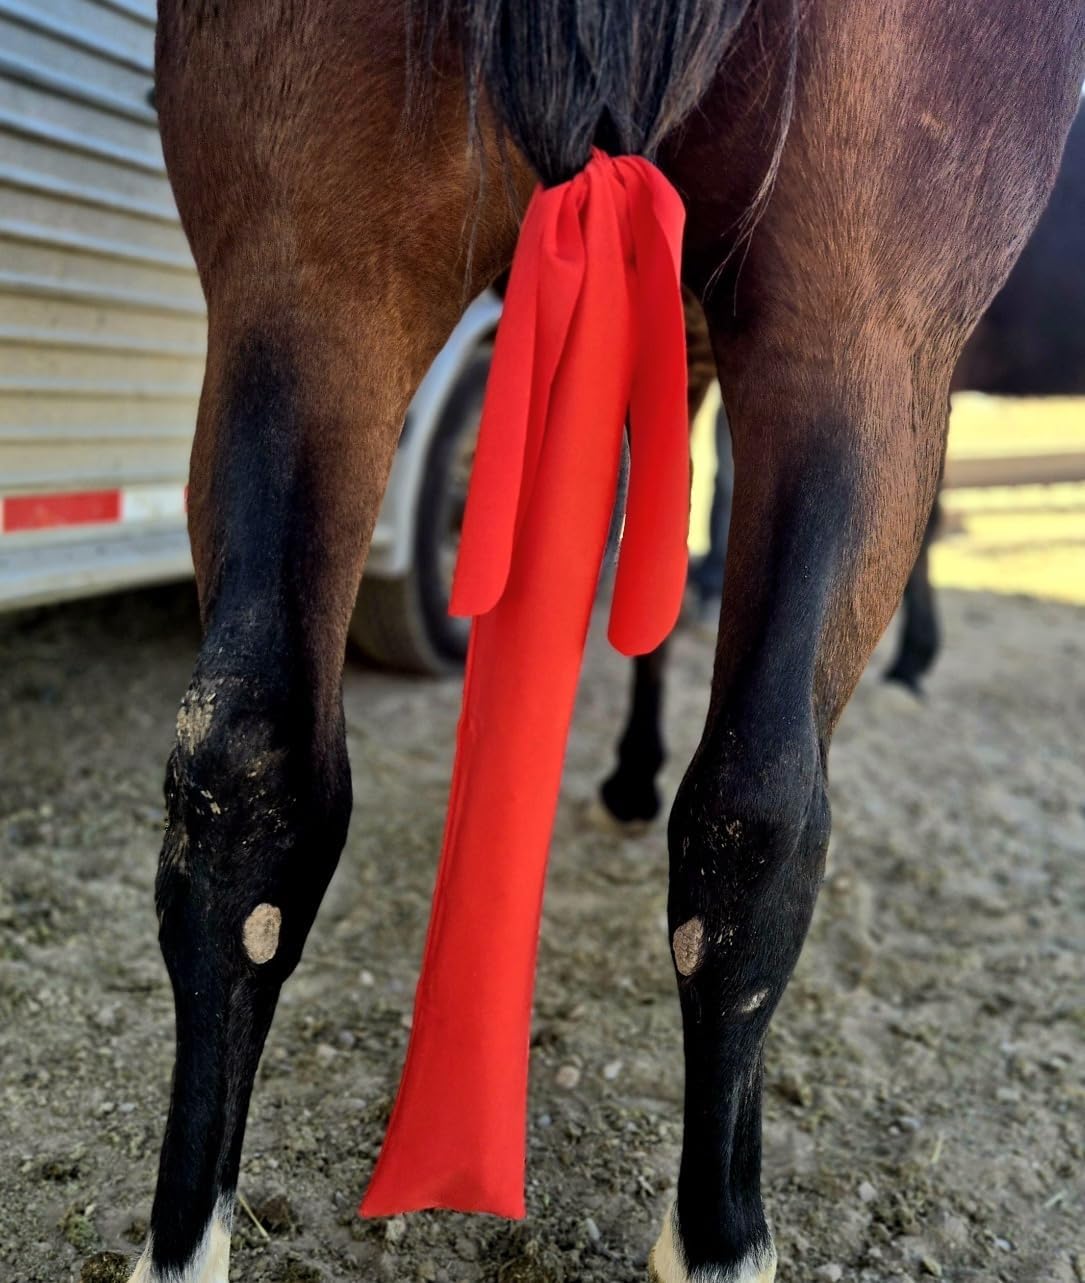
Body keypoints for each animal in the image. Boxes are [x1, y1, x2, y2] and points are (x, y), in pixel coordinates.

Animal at [131, 2, 1085, 1280]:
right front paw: (639, 767)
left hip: (304, 271)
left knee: (244, 770)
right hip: (866, 322)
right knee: (764, 811)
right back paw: (723, 1234)